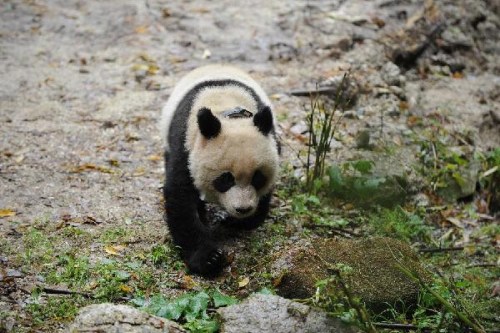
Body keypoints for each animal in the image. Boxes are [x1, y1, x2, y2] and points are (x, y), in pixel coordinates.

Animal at [160, 65, 280, 274]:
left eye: (257, 178)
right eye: (226, 179)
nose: (243, 209)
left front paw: (238, 221)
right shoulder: (186, 147)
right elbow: (180, 196)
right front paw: (209, 259)